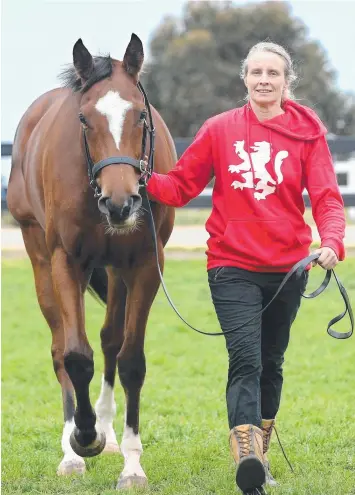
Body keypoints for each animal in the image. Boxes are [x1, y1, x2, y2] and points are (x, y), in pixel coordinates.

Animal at [6, 33, 177, 490]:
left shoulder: (144, 266)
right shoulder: (66, 262)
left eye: (140, 115)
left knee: (110, 341)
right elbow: (75, 356)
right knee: (59, 347)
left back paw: (109, 433)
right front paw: (84, 438)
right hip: (40, 258)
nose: (120, 204)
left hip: (116, 271)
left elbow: (130, 360)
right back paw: (72, 450)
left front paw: (131, 464)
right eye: (84, 120)